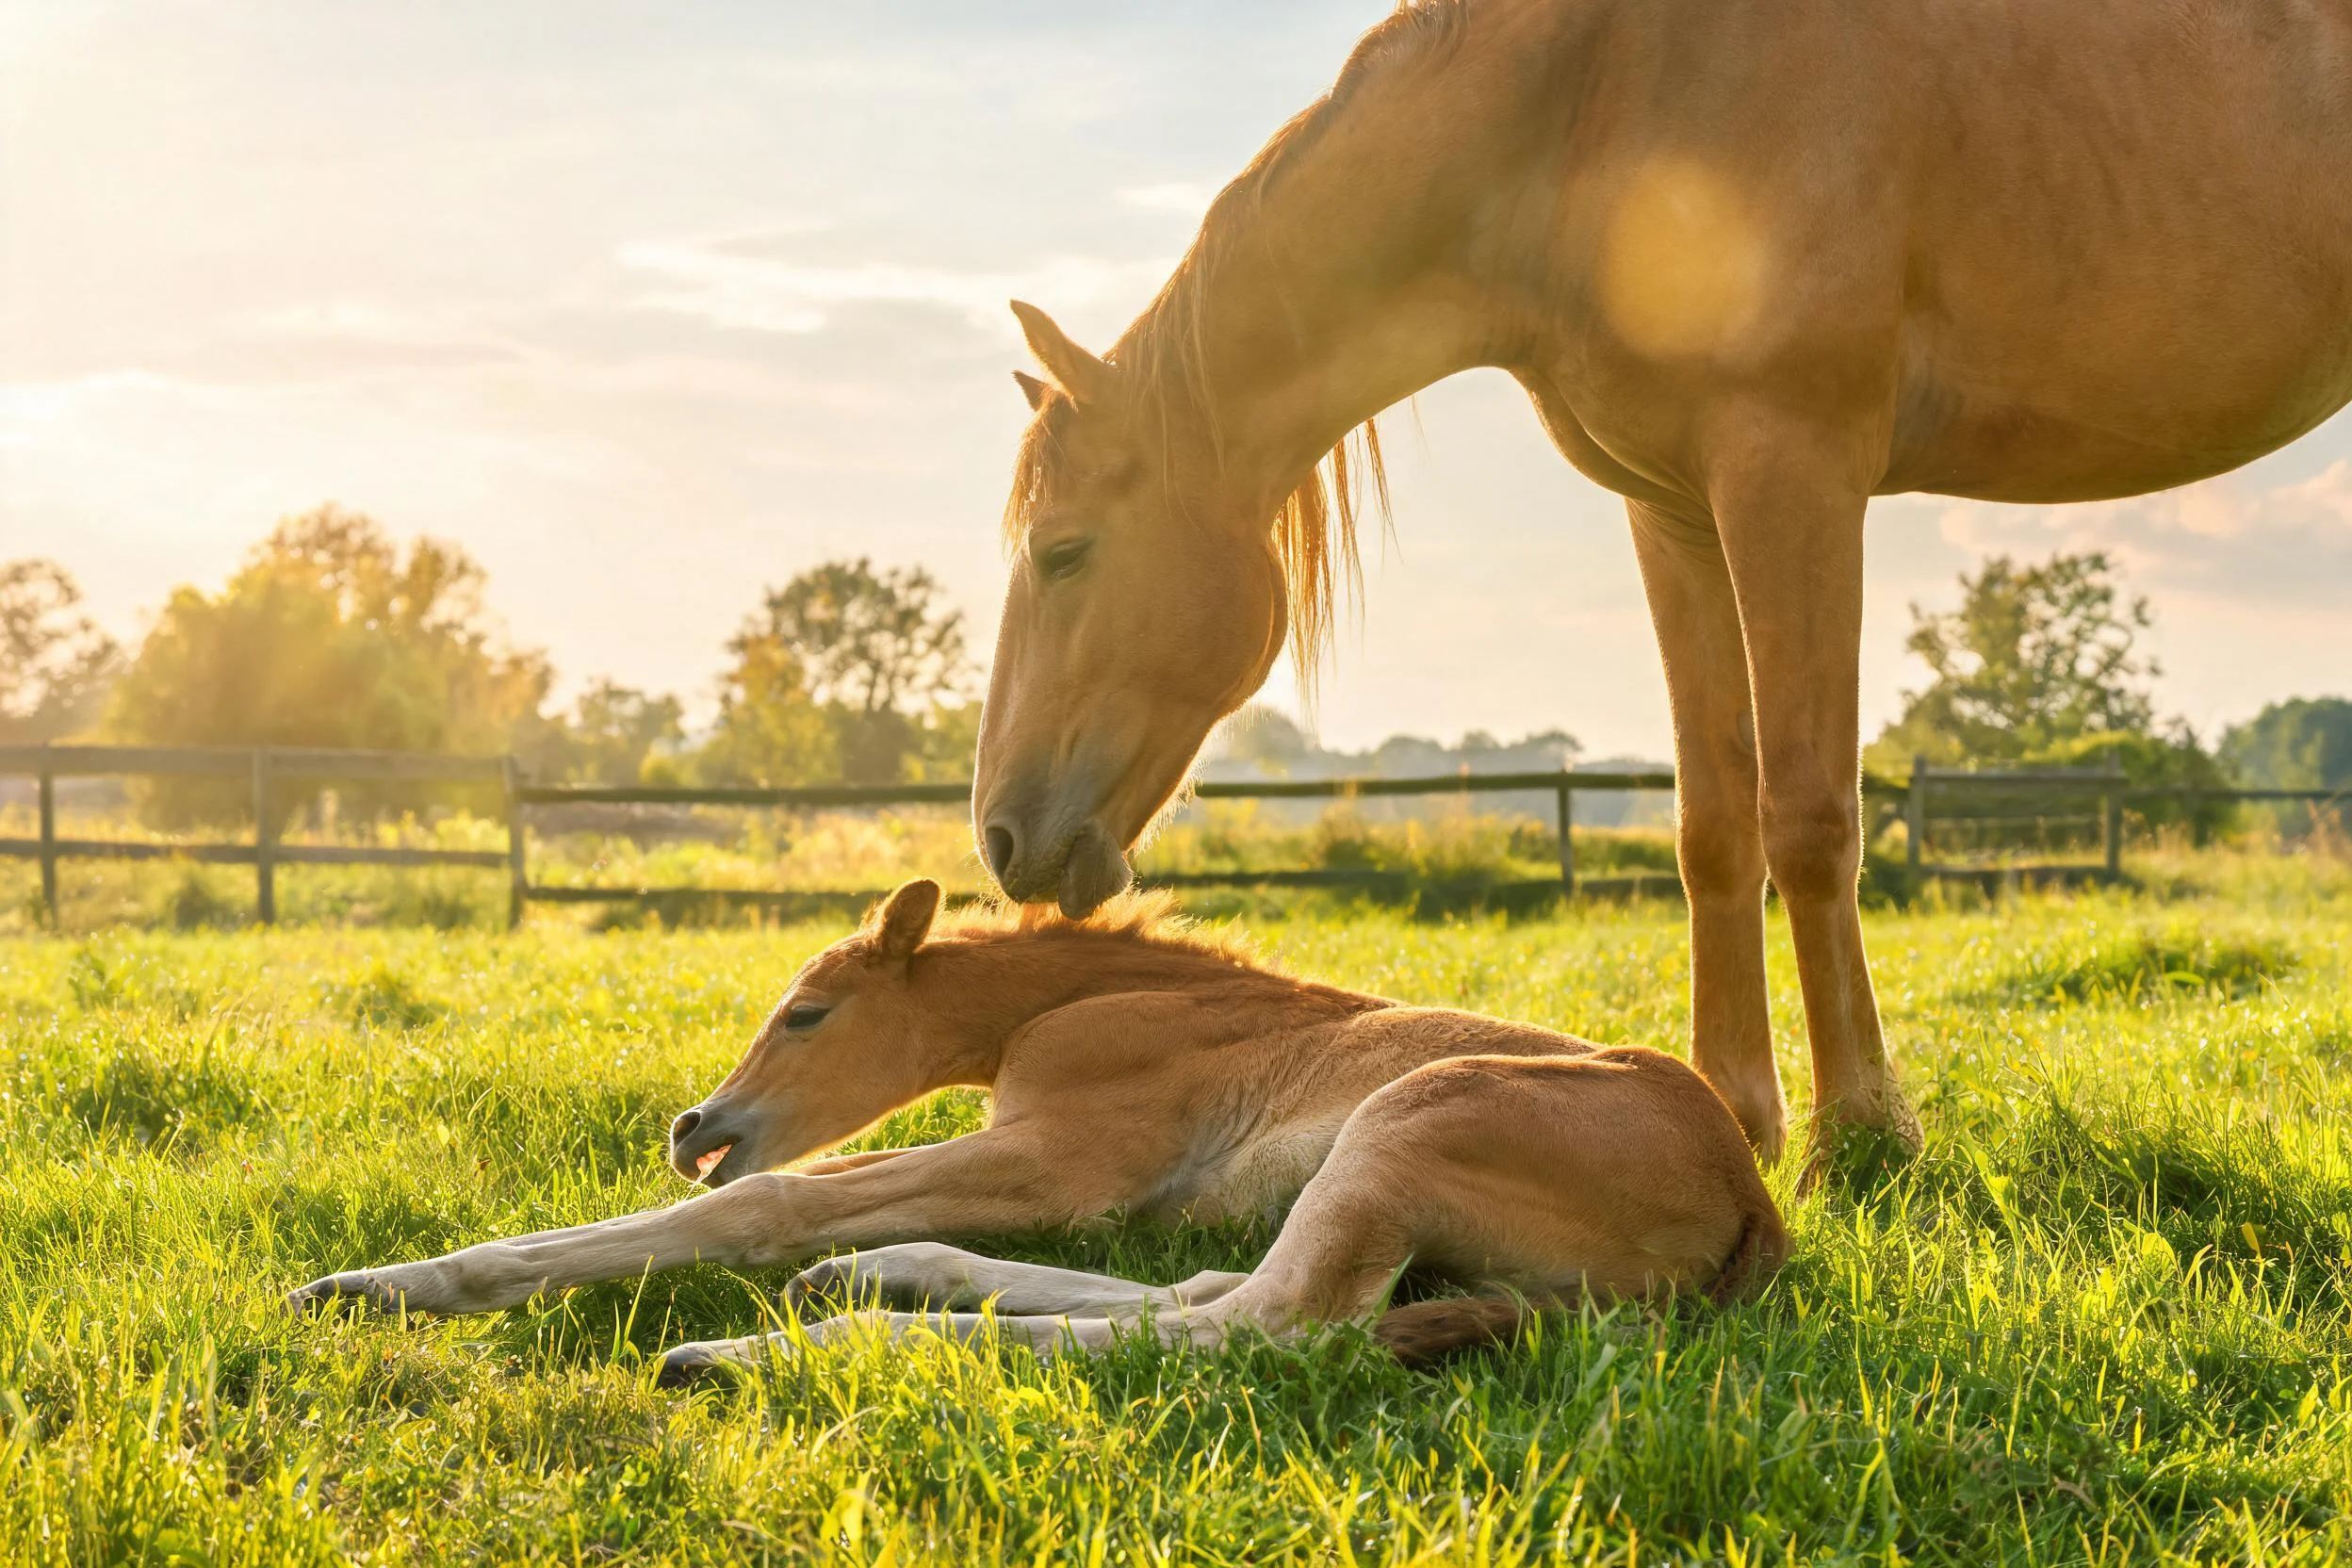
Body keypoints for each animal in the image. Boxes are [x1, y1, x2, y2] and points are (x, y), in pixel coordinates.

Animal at [289, 881, 1786, 1378]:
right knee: (1203, 1293)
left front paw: (396, 1282)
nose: (692, 1123)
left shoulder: (1065, 1161)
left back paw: (779, 1347)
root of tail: (1756, 1213)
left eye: (808, 1011)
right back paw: (884, 1283)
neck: (1105, 1000)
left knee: (1256, 1330)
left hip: (1411, 1120)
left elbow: (764, 1204)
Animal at [967, 0, 2352, 1165]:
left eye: (1065, 549)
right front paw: (1739, 1110)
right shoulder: (1673, 511)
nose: (1000, 836)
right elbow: (1713, 821)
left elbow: (1809, 815)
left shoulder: (1793, 472)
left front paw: (1866, 1131)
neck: (1601, 101)